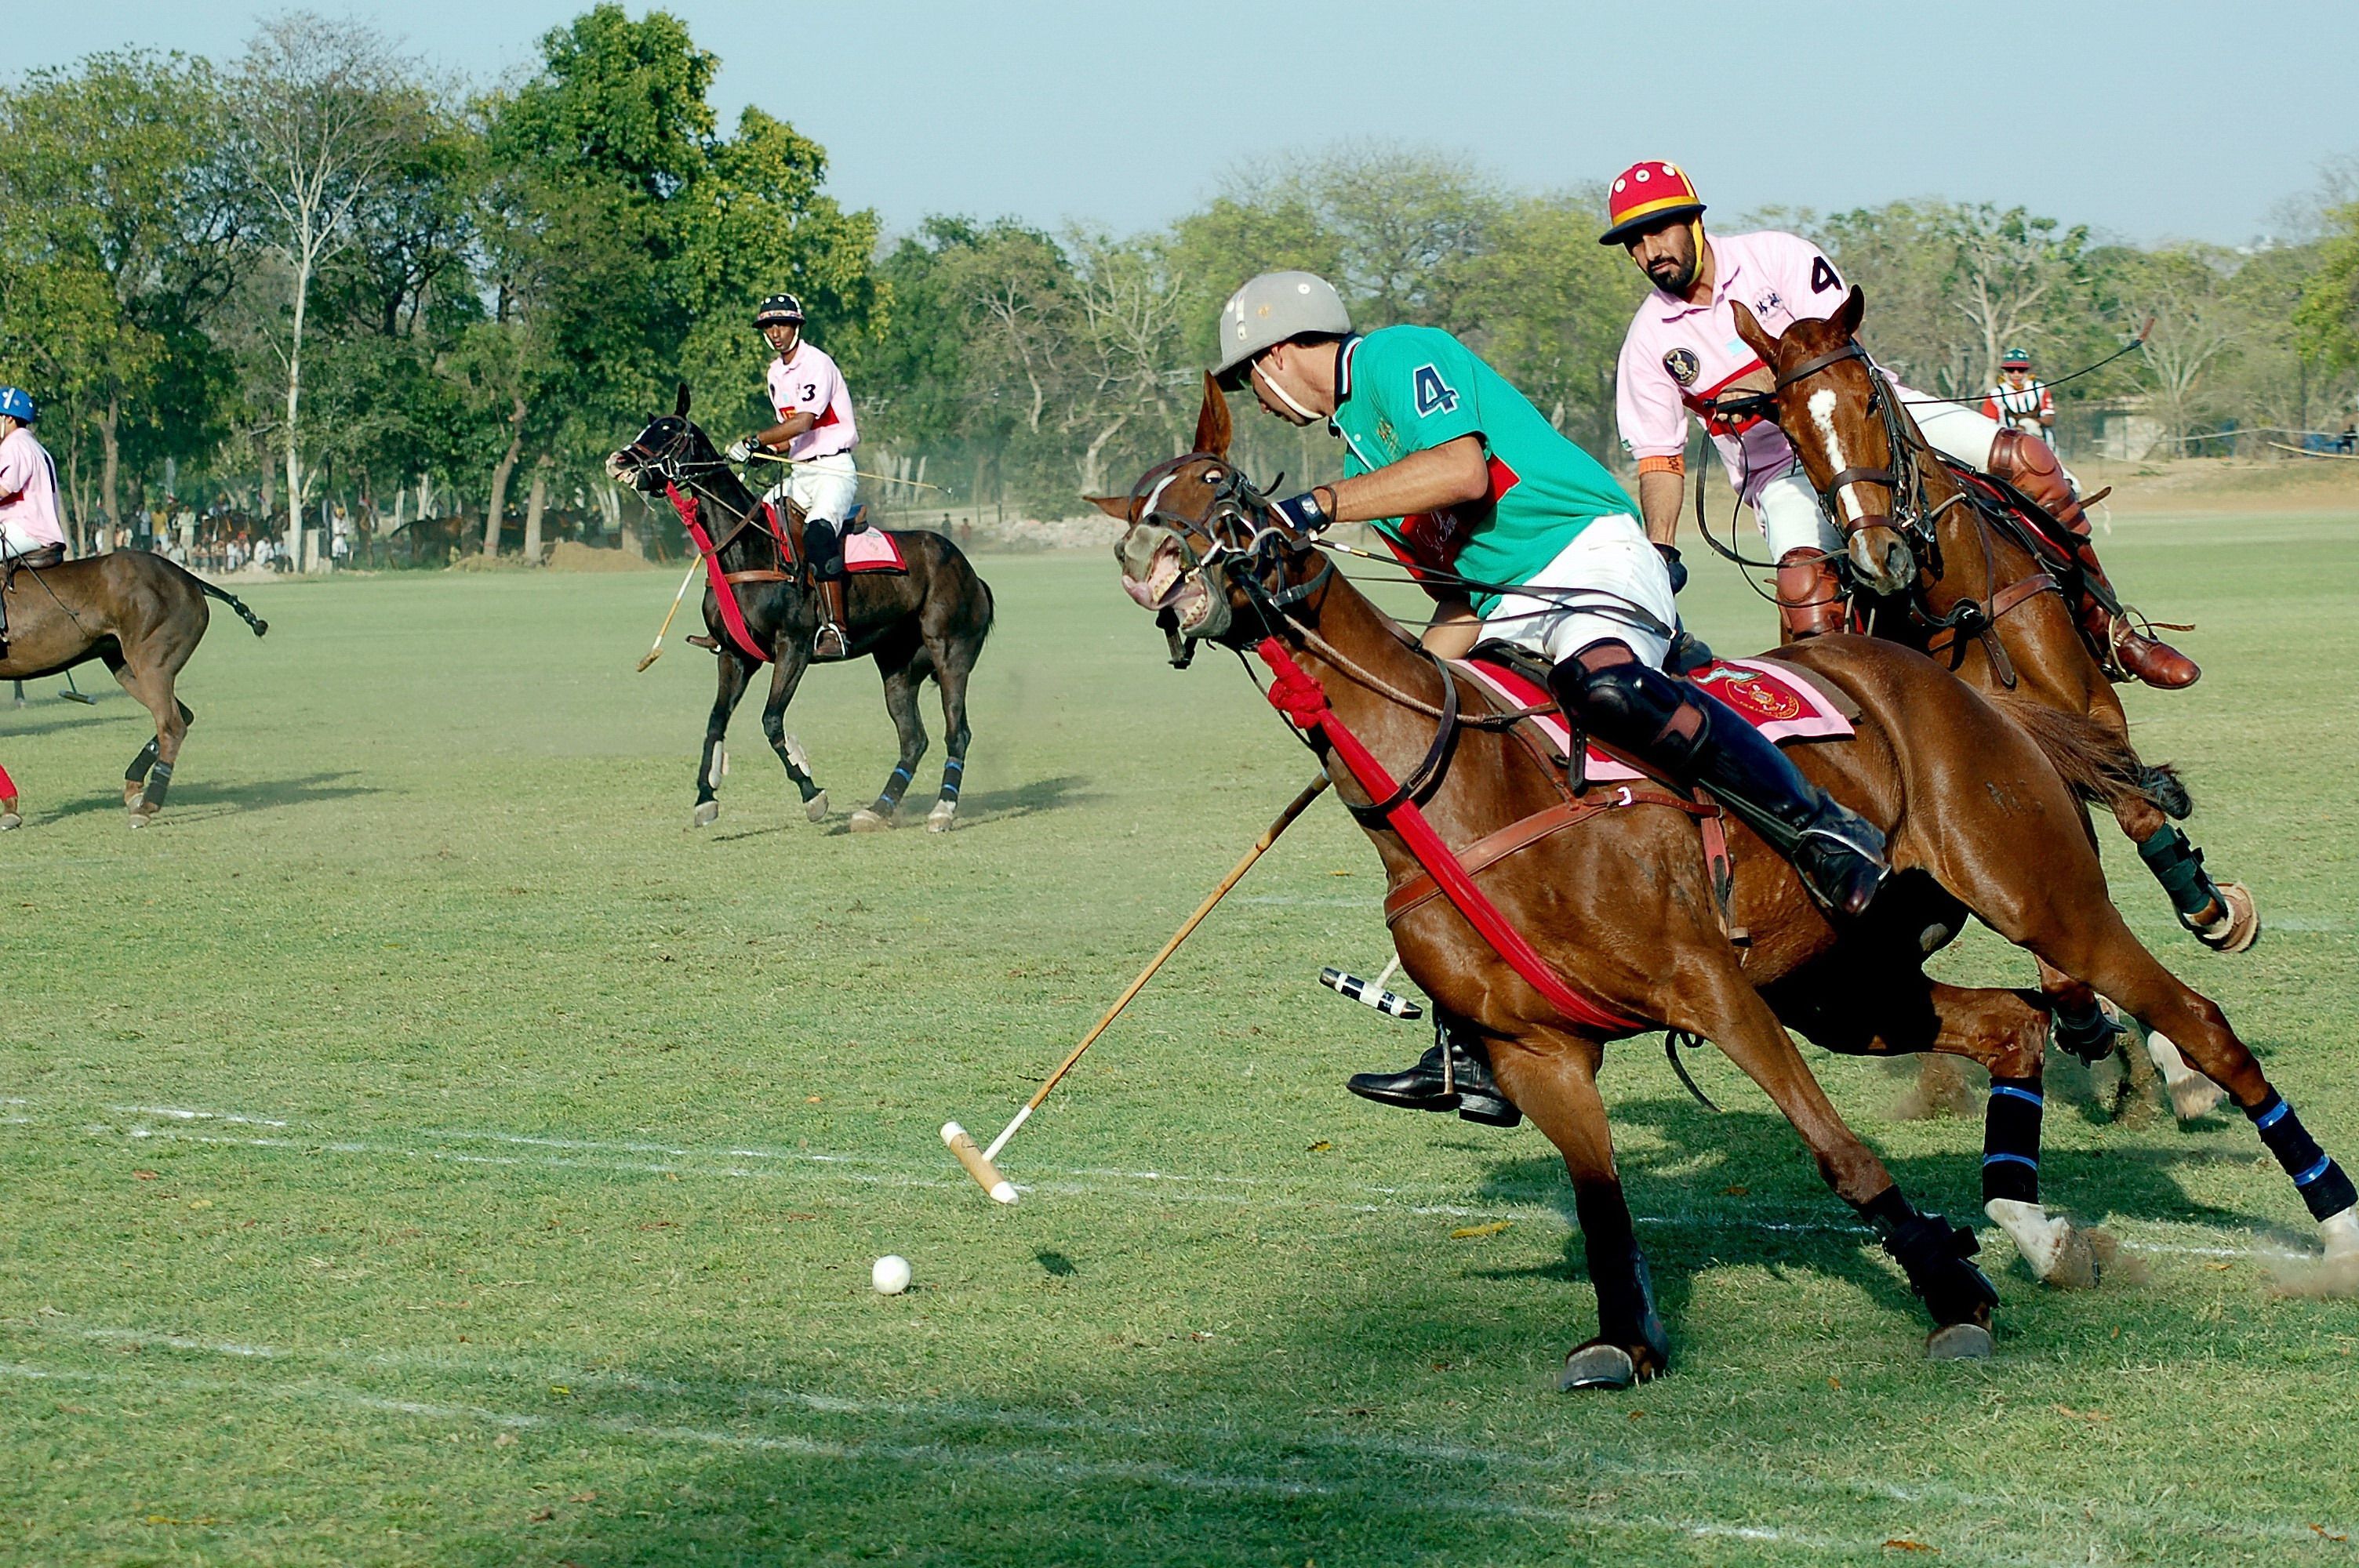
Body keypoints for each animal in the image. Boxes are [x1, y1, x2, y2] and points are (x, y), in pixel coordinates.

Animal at [0, 546, 268, 825]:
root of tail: (191, 579)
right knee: (182, 715)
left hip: (151, 663)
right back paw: (135, 789)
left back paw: (148, 805)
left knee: (172, 725)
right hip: (126, 667)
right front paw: (10, 808)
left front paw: (10, 808)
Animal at [609, 389, 995, 829]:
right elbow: (715, 722)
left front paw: (812, 793)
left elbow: (771, 721)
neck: (747, 548)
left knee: (957, 732)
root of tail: (970, 571)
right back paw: (878, 810)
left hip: (951, 652)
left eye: (669, 431)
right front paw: (706, 798)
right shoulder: (735, 655)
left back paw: (943, 810)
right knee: (913, 739)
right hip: (897, 665)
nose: (618, 461)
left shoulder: (792, 647)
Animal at [1103, 379, 2359, 1386]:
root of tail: (1967, 688)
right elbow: (1602, 1205)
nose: (1148, 572)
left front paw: (1950, 1294)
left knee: (2193, 1019)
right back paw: (2039, 1231)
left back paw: (2330, 1226)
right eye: (1137, 509)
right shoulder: (1538, 1049)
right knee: (2012, 1024)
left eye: (1217, 487)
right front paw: (1627, 1340)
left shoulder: (1712, 990)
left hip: (2033, 894)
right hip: (1848, 984)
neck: (1456, 785)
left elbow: (1841, 1156)